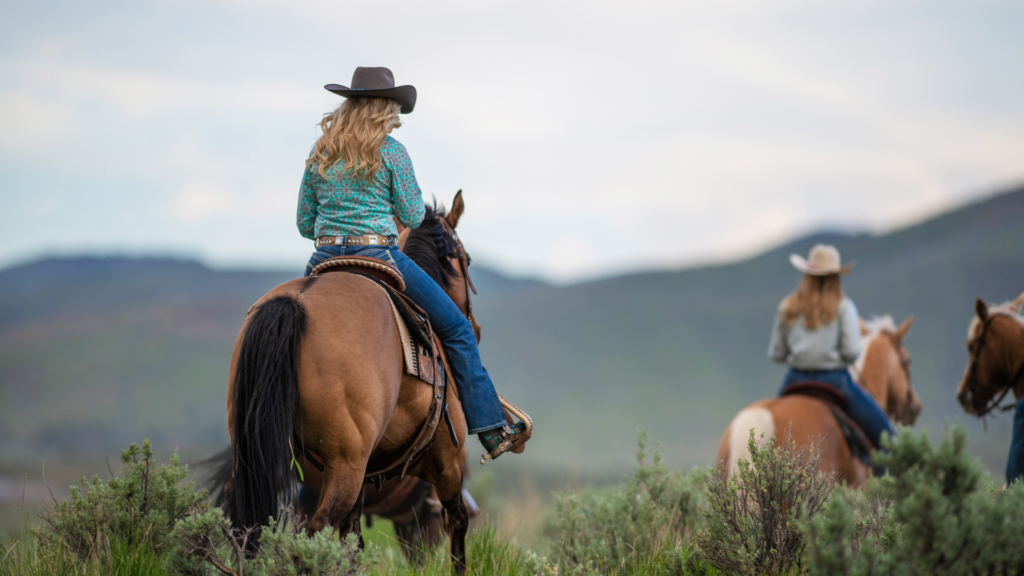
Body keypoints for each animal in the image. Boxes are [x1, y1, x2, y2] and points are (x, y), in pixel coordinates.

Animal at [222, 192, 477, 569]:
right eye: (466, 259)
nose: (474, 326)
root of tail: (295, 303)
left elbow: (352, 539)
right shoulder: (449, 463)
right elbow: (457, 526)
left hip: (262, 458)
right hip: (345, 467)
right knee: (315, 532)